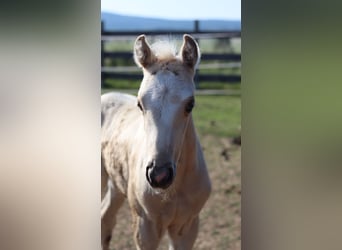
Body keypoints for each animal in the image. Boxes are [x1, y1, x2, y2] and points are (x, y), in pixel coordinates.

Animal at [100, 34, 210, 250]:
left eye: (190, 104)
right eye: (140, 104)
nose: (159, 175)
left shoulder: (187, 226)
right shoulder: (145, 227)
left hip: (116, 184)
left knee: (105, 219)